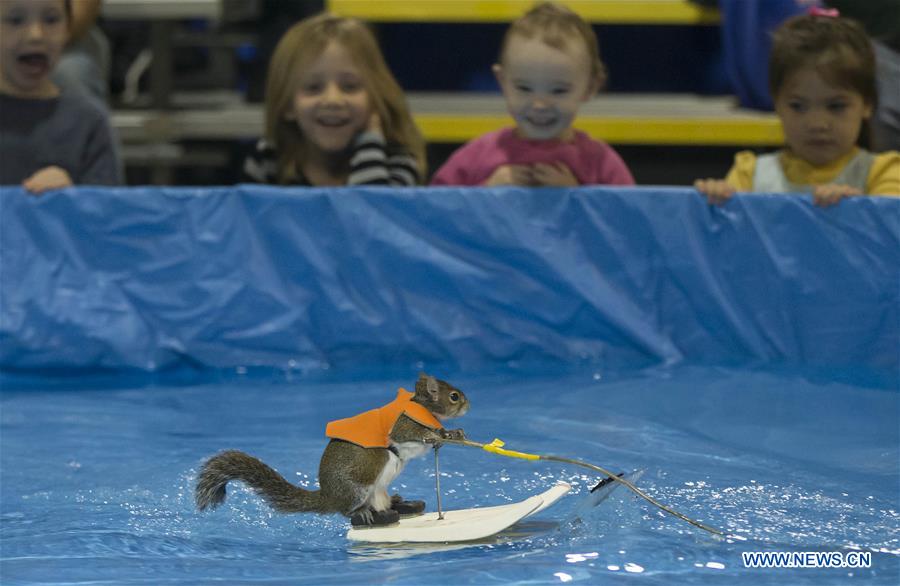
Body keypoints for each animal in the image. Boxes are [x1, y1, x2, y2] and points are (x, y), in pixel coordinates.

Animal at [195, 373, 469, 527]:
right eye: (454, 396)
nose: (468, 404)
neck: (421, 406)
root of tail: (329, 496)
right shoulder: (402, 425)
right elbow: (410, 436)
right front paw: (435, 434)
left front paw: (451, 434)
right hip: (363, 478)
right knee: (348, 511)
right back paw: (364, 513)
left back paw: (398, 502)